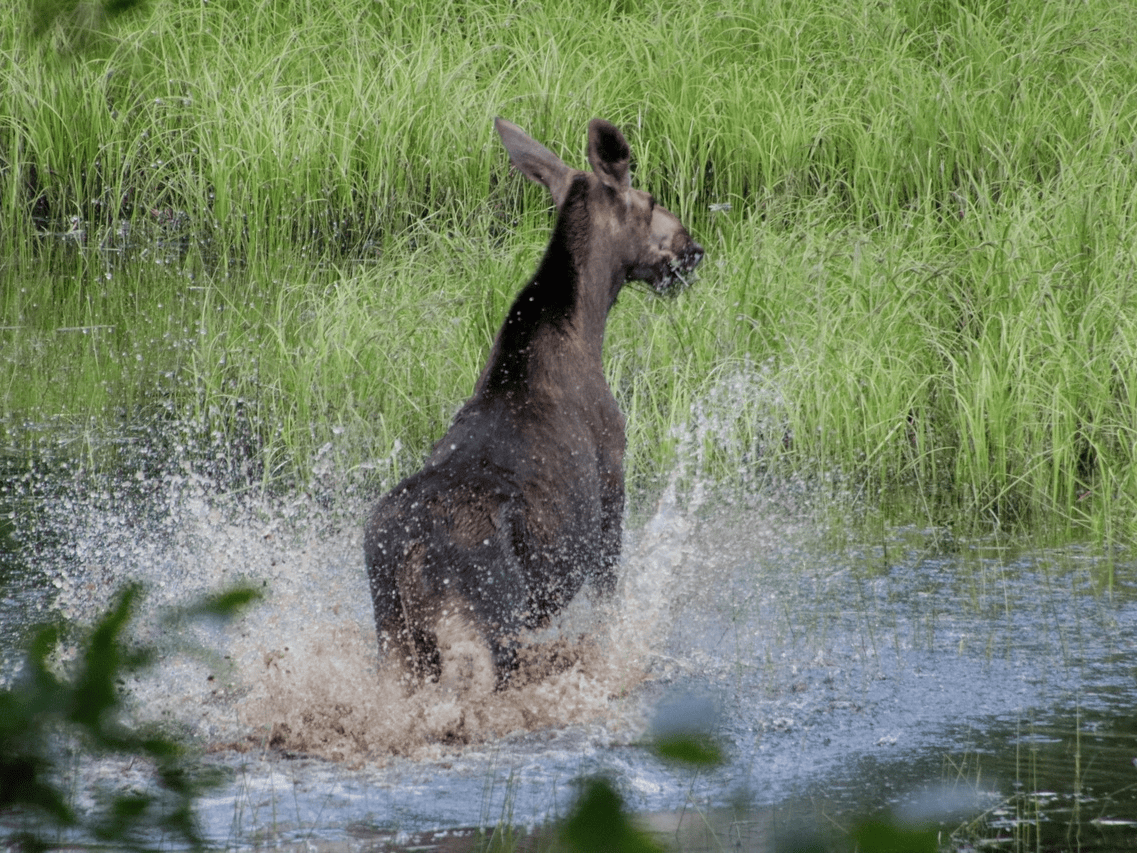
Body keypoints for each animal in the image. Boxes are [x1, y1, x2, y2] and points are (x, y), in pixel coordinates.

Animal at [363, 117, 700, 691]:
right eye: (651, 201)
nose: (691, 247)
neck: (587, 322)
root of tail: (411, 551)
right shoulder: (611, 489)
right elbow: (608, 605)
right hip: (489, 621)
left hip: (395, 638)